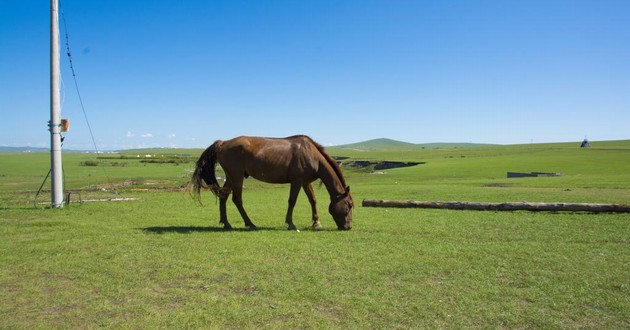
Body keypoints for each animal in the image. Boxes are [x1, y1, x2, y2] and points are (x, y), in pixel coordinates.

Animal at [188, 135, 356, 231]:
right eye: (348, 205)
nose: (348, 227)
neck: (311, 154)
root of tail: (223, 143)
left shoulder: (305, 182)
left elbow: (313, 200)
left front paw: (316, 222)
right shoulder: (296, 181)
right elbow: (292, 201)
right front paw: (290, 223)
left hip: (230, 177)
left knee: (223, 197)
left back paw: (226, 223)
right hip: (237, 177)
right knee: (237, 200)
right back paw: (250, 224)